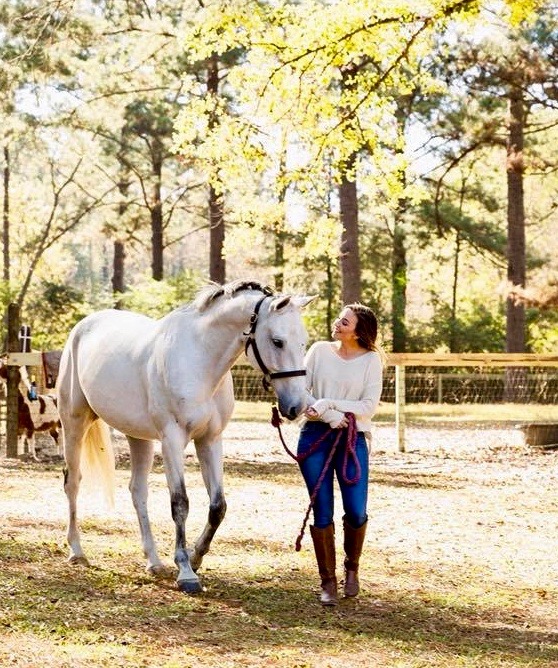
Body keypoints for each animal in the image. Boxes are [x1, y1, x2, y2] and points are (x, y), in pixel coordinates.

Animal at [58, 279, 315, 594]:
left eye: (303, 341)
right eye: (277, 341)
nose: (296, 406)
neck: (199, 361)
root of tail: (83, 326)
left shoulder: (210, 440)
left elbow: (218, 506)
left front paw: (196, 557)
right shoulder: (173, 440)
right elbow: (180, 503)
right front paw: (186, 572)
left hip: (138, 437)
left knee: (137, 491)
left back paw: (153, 561)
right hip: (74, 423)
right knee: (73, 482)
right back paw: (77, 551)